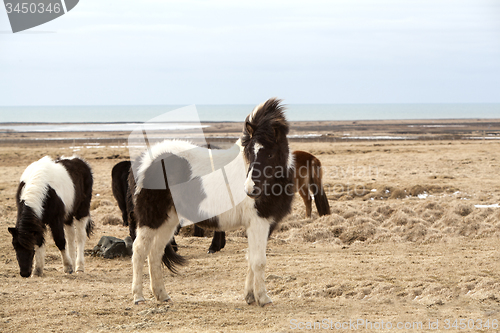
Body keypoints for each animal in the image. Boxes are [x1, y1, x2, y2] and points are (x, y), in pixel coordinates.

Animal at [127, 96, 294, 306]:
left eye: (270, 154)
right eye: (249, 152)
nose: (250, 190)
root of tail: (144, 161)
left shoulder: (263, 224)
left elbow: (251, 258)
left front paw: (250, 296)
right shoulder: (259, 223)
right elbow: (259, 261)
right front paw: (263, 298)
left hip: (168, 220)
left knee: (155, 252)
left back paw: (162, 295)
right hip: (151, 218)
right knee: (139, 250)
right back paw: (138, 297)